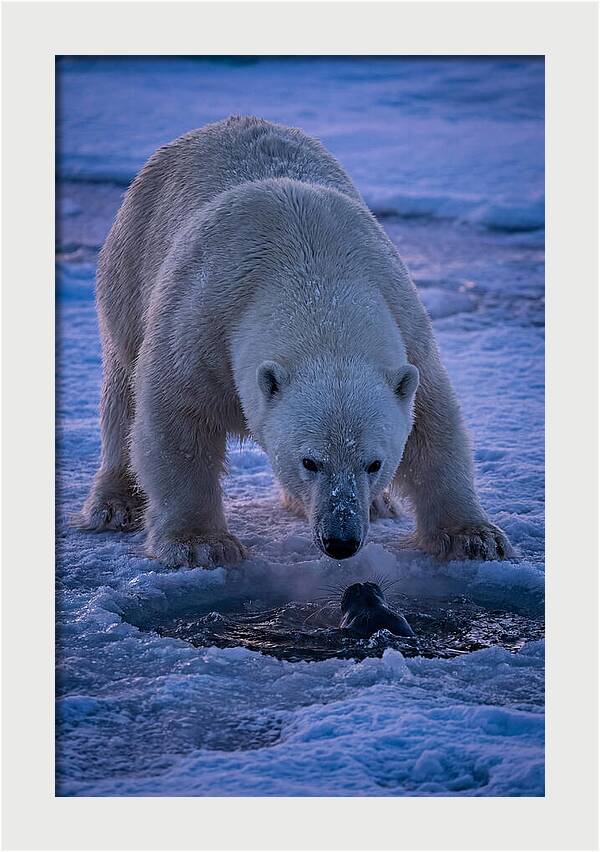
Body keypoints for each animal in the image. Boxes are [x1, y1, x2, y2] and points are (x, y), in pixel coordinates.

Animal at [78, 115, 512, 567]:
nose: (341, 540)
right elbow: (176, 421)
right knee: (122, 389)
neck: (313, 271)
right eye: (310, 461)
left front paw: (475, 538)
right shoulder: (201, 321)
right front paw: (200, 544)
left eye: (374, 463)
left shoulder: (407, 327)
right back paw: (115, 504)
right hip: (130, 266)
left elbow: (433, 425)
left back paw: (378, 505)